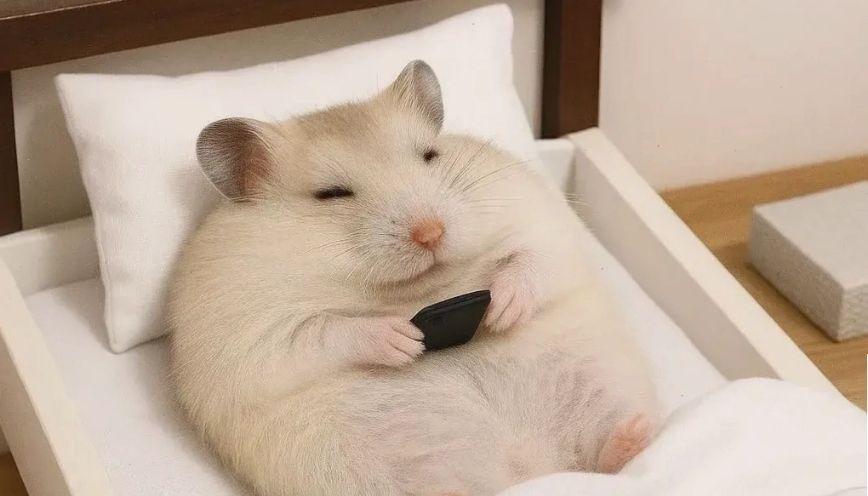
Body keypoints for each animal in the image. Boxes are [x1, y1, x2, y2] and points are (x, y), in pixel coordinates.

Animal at [169, 60, 657, 496]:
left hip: (600, 382)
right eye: (331, 194)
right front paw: (405, 340)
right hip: (354, 465)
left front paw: (501, 310)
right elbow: (323, 332)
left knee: (606, 456)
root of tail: (530, 468)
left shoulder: (542, 224)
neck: (421, 290)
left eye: (429, 155)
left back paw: (635, 434)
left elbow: (533, 259)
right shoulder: (253, 334)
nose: (431, 233)